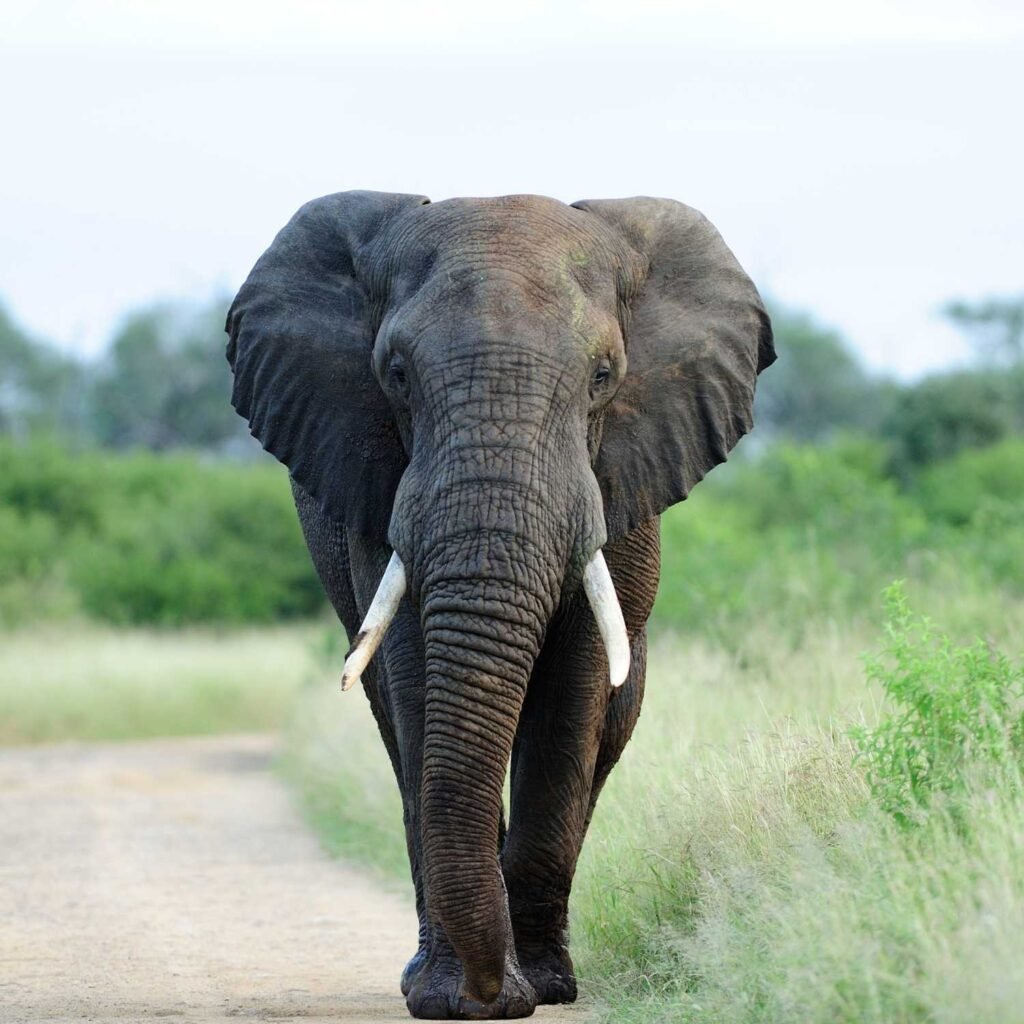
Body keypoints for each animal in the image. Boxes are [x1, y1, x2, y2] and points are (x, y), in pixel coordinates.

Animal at [226, 191, 774, 1020]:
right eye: (394, 374)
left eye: (603, 376)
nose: (490, 995)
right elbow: (416, 671)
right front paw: (458, 999)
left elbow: (574, 691)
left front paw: (540, 989)